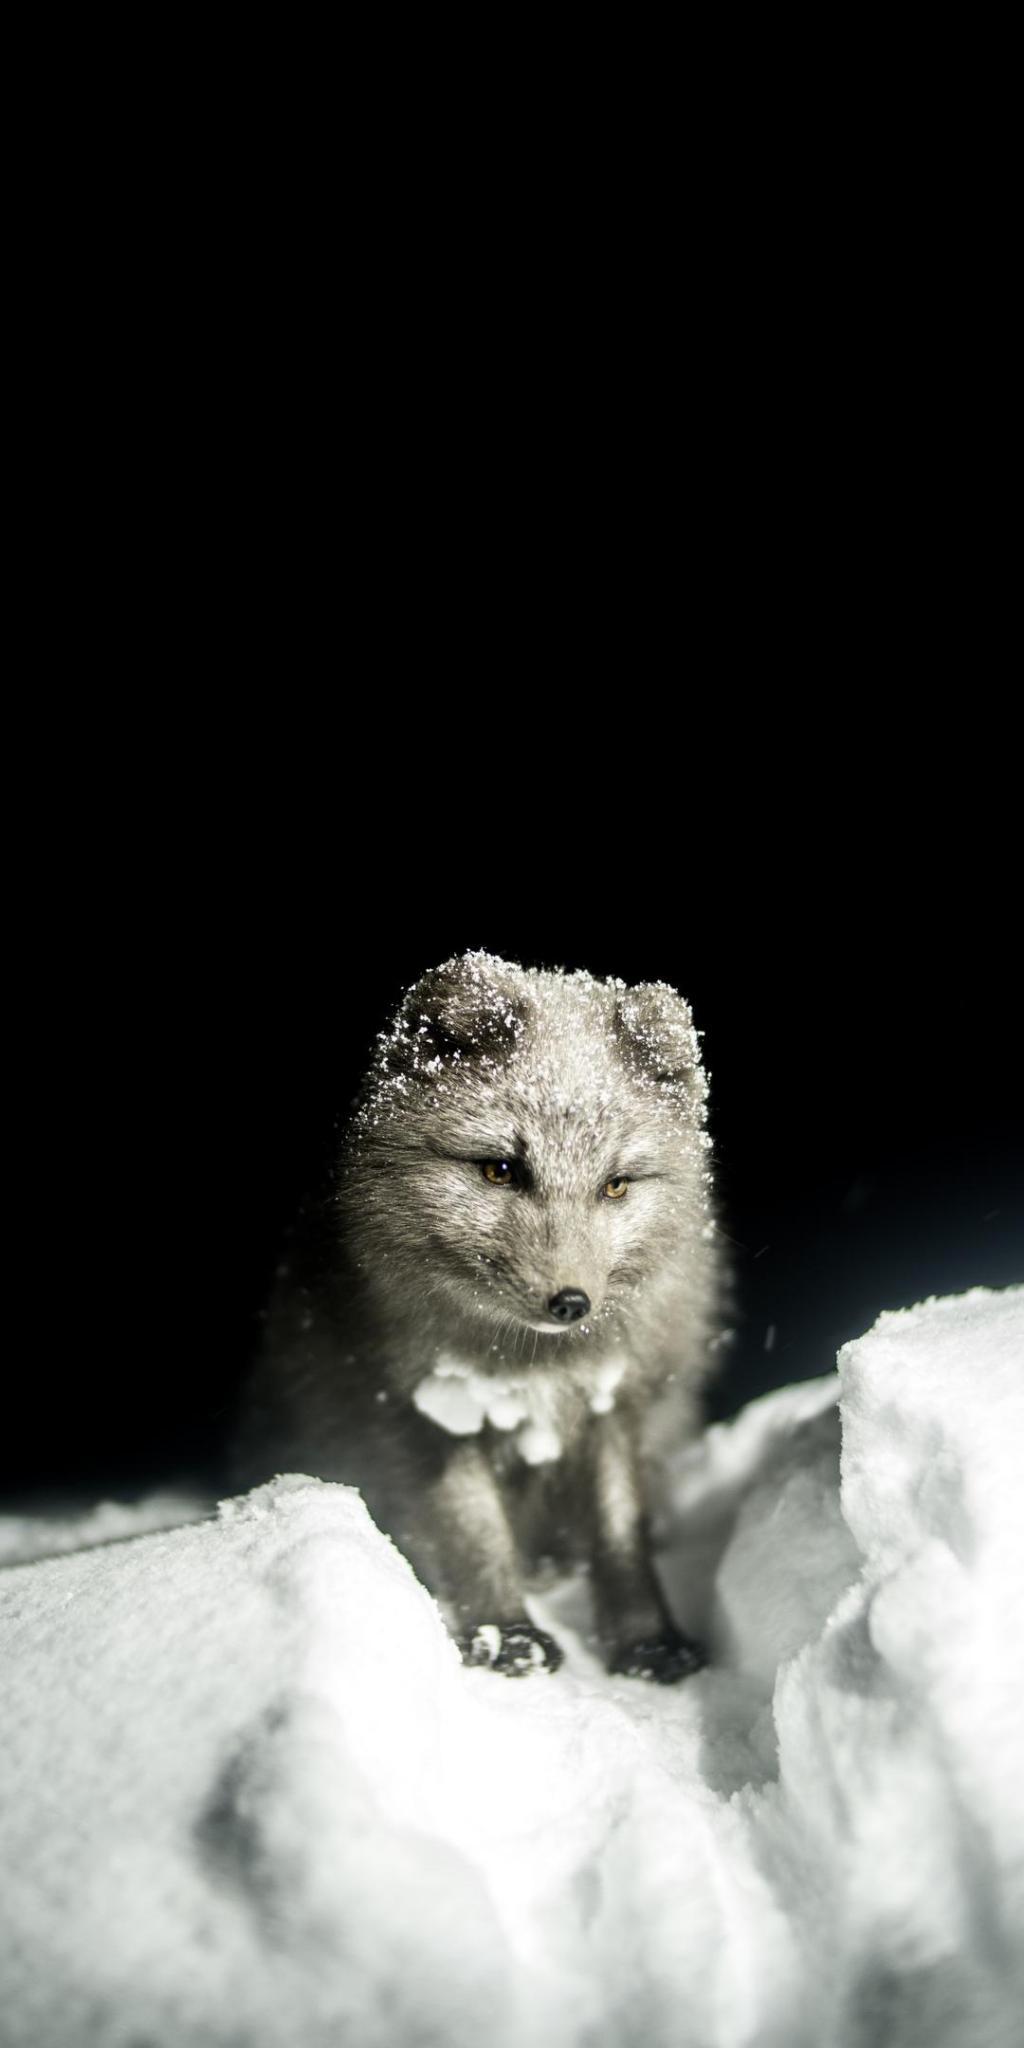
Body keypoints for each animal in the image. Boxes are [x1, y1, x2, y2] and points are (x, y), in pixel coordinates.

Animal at [232, 950, 724, 1671]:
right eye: (500, 1170)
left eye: (615, 1185)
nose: (570, 1302)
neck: (531, 1366)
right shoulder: (421, 1412)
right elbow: (472, 1529)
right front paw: (504, 1634)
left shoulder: (615, 1403)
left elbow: (620, 1531)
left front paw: (648, 1641)